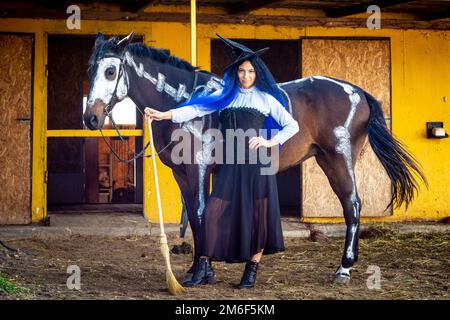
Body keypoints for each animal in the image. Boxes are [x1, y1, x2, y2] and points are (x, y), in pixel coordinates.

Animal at [83, 31, 426, 282]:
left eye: (111, 71)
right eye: (90, 70)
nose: (91, 118)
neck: (185, 102)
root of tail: (358, 92)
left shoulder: (199, 169)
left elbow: (200, 213)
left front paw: (203, 272)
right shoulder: (183, 174)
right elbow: (193, 217)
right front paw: (195, 269)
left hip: (338, 159)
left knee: (352, 205)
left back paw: (343, 269)